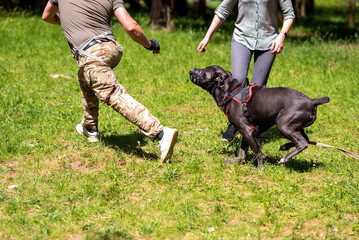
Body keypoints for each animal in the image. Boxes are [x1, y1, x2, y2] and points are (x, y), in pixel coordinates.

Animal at [190, 65, 330, 167]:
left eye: (203, 71)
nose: (192, 70)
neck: (230, 92)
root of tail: (312, 101)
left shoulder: (246, 129)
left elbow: (258, 153)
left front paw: (259, 168)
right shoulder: (246, 131)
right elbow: (242, 151)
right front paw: (236, 162)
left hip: (283, 124)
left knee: (302, 143)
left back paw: (284, 158)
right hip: (295, 126)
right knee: (305, 139)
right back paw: (285, 147)